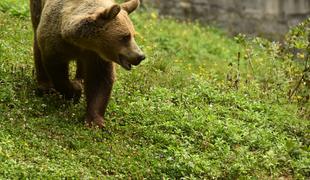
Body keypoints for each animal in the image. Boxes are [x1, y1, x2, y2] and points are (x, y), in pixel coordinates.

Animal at [29, 0, 145, 128]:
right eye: (125, 36)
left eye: (133, 34)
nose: (140, 56)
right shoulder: (56, 41)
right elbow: (57, 69)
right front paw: (74, 91)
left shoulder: (96, 56)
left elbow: (99, 80)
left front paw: (95, 121)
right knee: (37, 41)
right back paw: (45, 87)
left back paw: (80, 80)